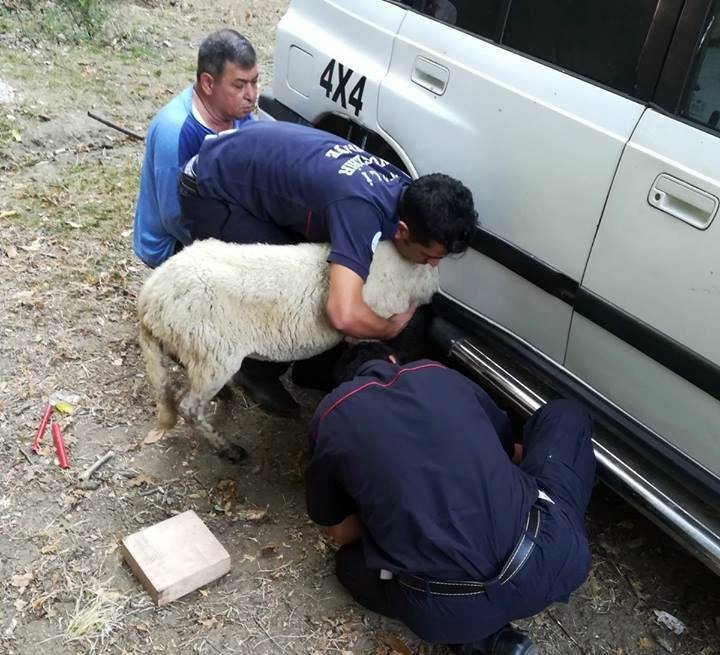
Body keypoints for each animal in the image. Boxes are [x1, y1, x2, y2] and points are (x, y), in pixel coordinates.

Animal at [136, 240, 438, 462]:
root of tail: (149, 298)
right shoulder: (365, 327)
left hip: (191, 345)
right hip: (213, 352)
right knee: (190, 408)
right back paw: (229, 449)